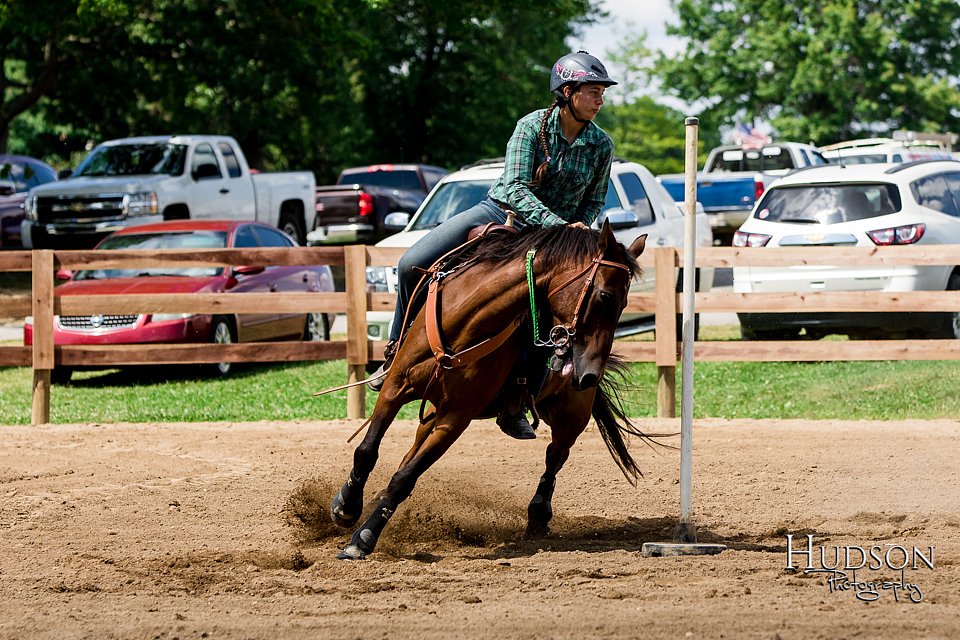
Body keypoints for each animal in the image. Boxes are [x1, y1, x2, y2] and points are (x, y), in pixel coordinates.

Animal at [328, 221, 644, 560]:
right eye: (604, 295)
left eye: (624, 302)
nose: (589, 375)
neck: (464, 321)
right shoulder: (395, 388)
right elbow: (367, 451)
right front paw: (346, 506)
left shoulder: (455, 419)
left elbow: (405, 478)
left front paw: (363, 538)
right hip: (433, 410)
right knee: (412, 448)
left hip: (572, 415)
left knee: (555, 455)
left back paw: (539, 512)